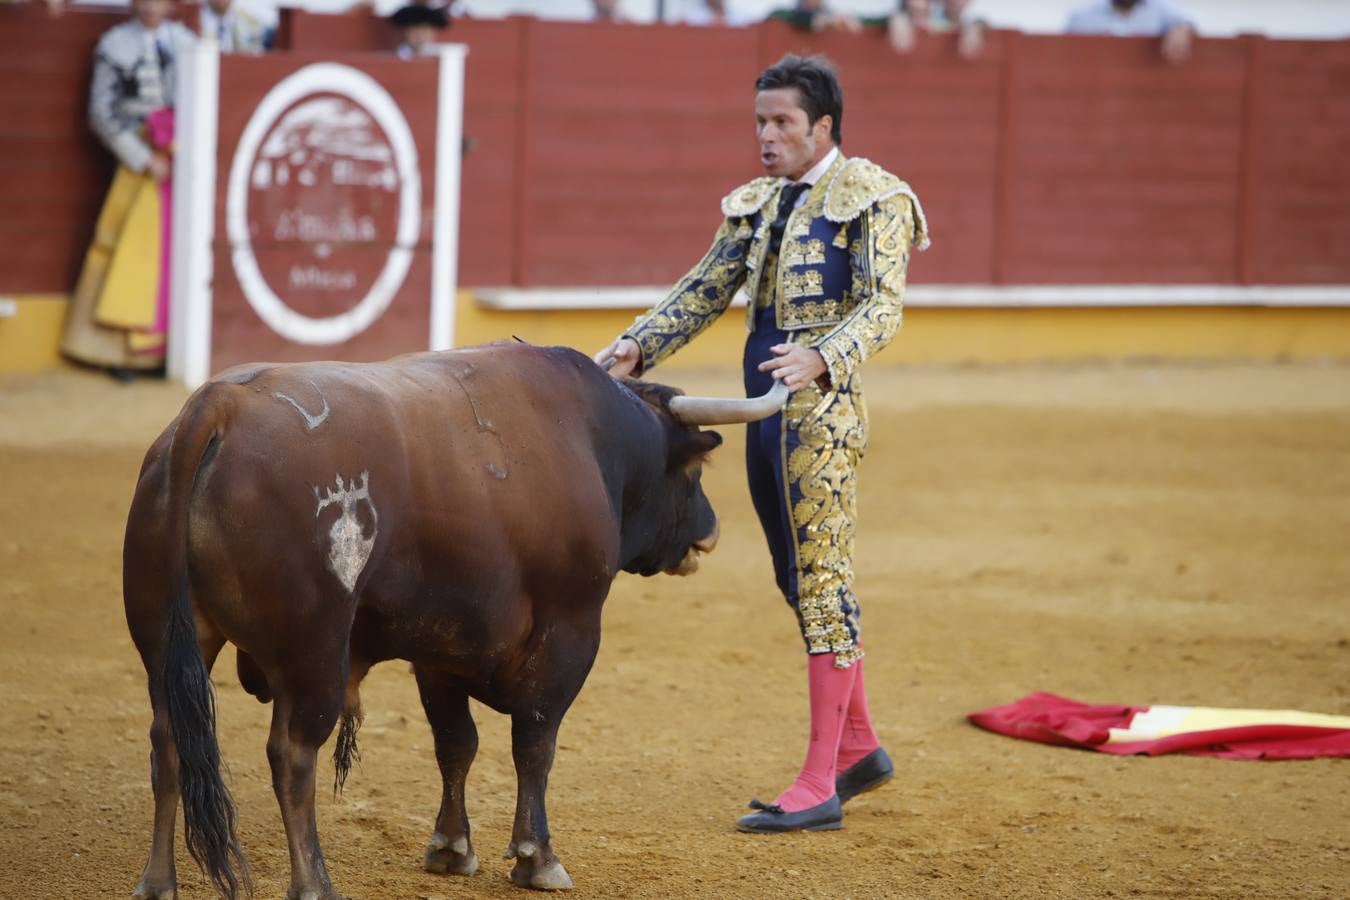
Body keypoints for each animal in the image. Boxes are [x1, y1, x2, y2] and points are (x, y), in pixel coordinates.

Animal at [125, 345, 788, 900]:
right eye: (694, 473)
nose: (711, 531)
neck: (594, 442)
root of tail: (219, 405)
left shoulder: (438, 649)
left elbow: (455, 744)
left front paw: (451, 848)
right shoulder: (570, 632)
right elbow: (535, 743)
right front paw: (537, 859)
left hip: (168, 643)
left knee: (168, 742)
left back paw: (158, 884)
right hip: (313, 654)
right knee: (292, 755)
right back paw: (313, 884)